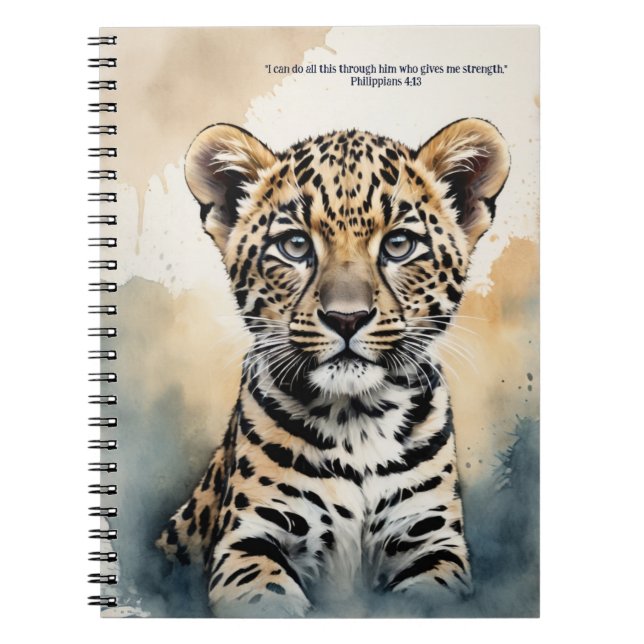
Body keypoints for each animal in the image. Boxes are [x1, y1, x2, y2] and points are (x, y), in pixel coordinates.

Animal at [156, 118, 510, 617]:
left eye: (399, 245)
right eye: (295, 245)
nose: (347, 317)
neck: (355, 420)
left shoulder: (432, 542)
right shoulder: (248, 540)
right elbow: (266, 598)